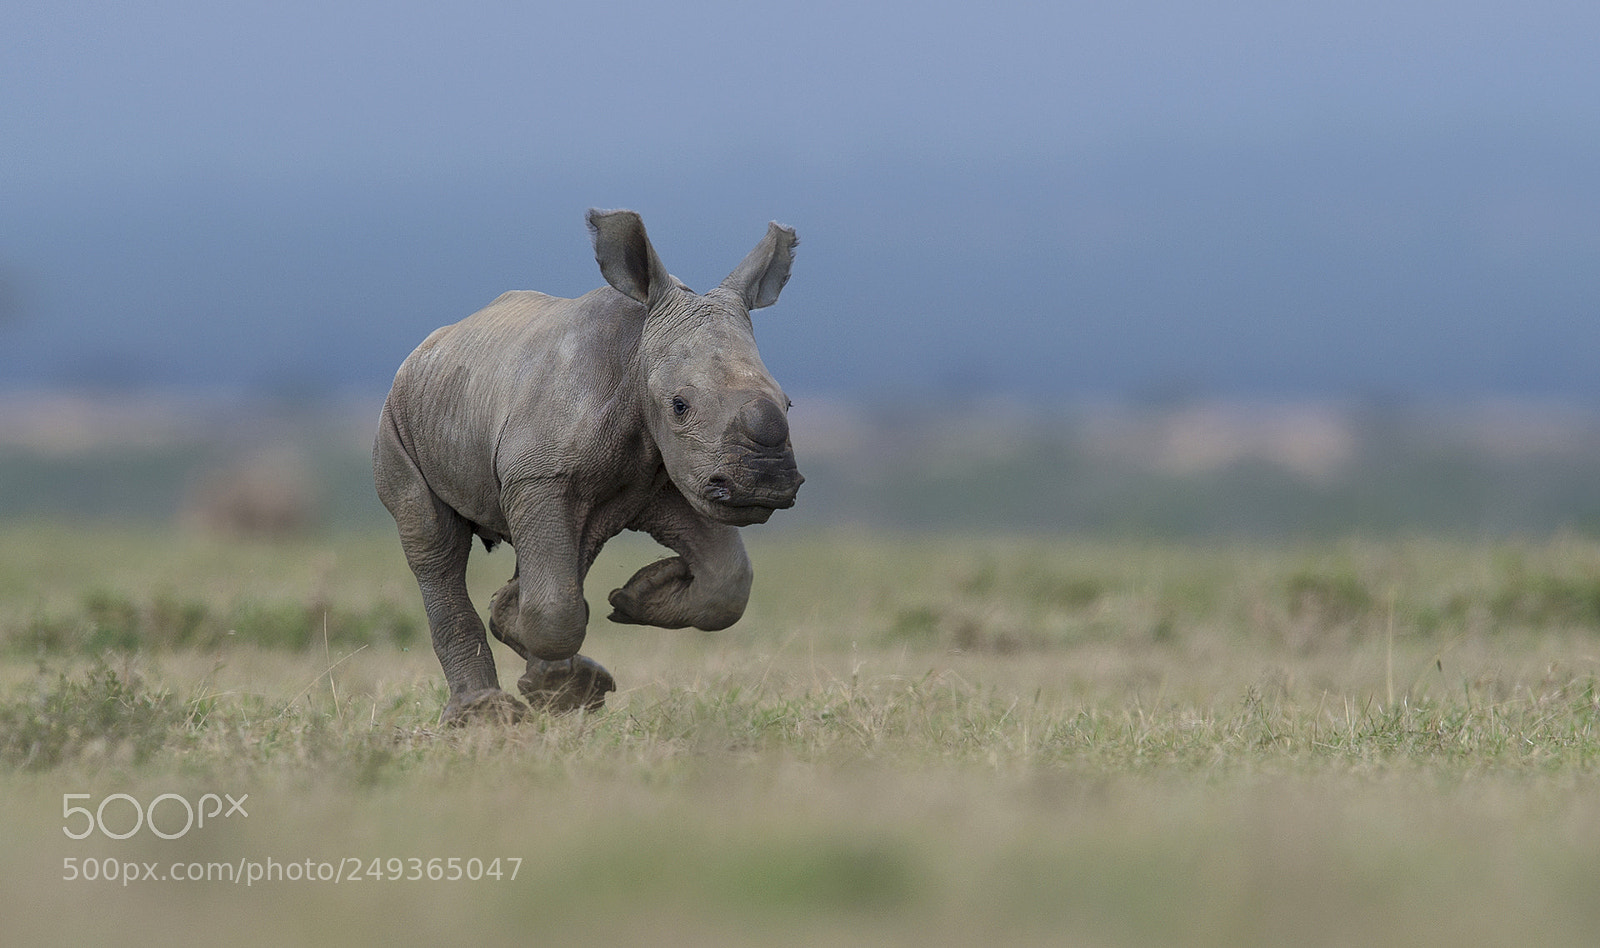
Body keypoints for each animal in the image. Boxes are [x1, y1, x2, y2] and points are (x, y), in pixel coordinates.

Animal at [374, 209, 803, 723]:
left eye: (788, 403)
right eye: (679, 406)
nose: (766, 483)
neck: (637, 357)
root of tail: (425, 348)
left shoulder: (675, 475)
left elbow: (730, 580)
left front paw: (631, 601)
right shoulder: (541, 475)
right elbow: (555, 610)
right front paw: (547, 673)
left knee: (579, 544)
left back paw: (559, 670)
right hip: (397, 419)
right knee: (436, 545)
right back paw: (484, 714)